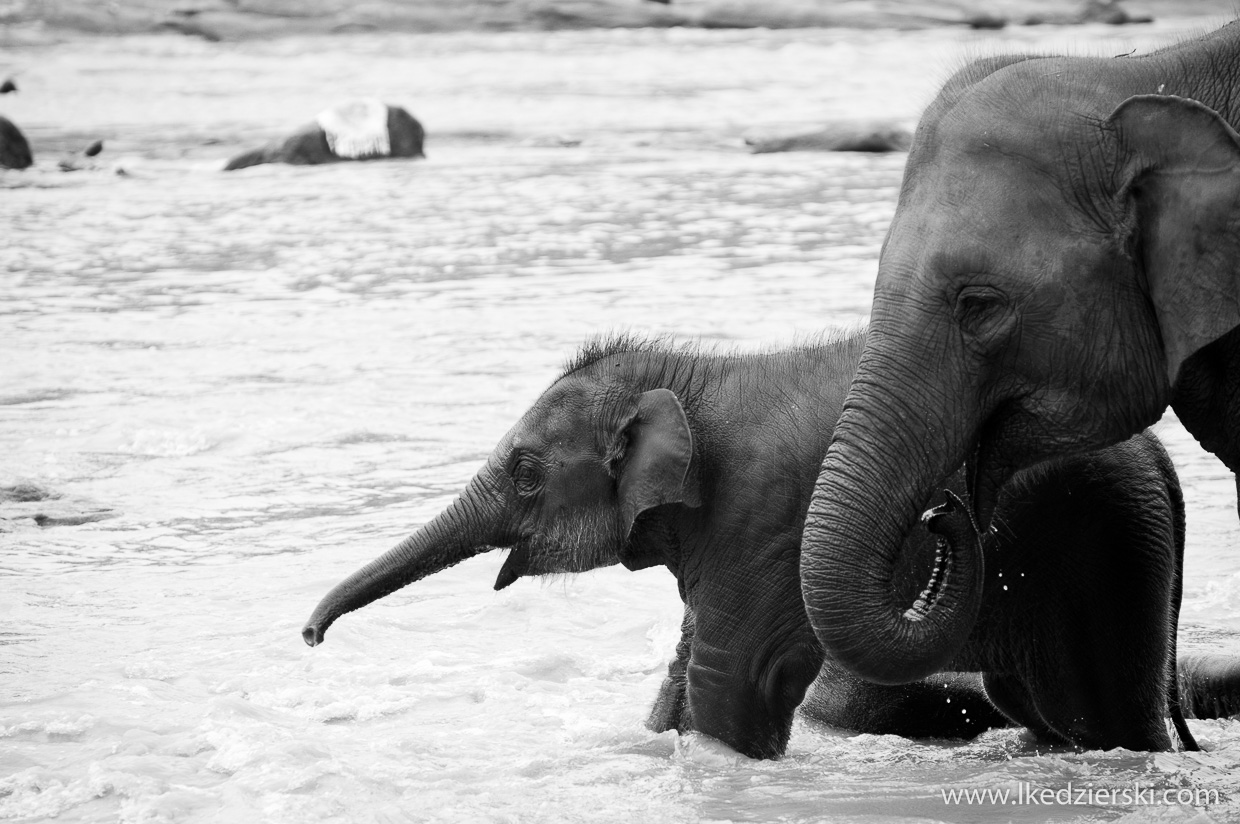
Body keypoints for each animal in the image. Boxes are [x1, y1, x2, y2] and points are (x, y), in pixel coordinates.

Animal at [302, 332, 1240, 753]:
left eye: (525, 473)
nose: (309, 637)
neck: (690, 377)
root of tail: (1161, 459)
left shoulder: (758, 525)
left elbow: (729, 681)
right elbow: (687, 675)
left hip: (1106, 548)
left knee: (1109, 718)